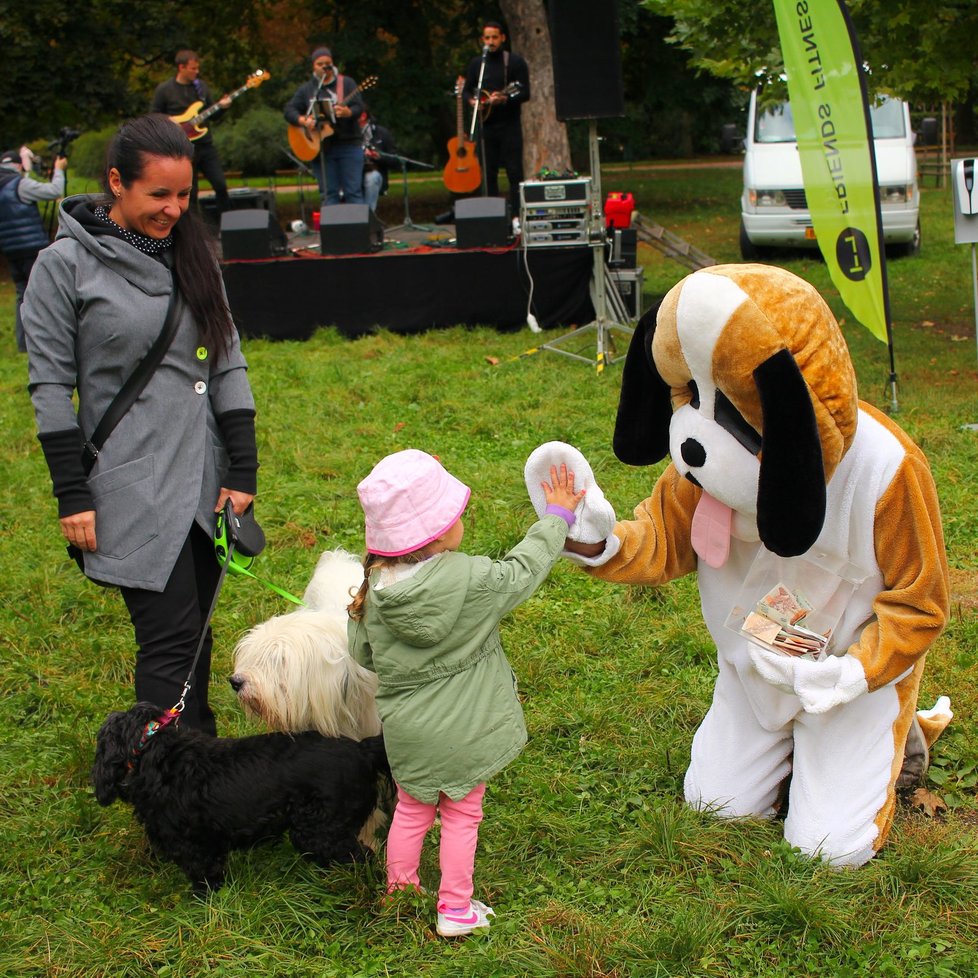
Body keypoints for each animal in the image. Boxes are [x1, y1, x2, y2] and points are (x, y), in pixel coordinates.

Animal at [93, 700, 390, 892]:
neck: (156, 753)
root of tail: (362, 749)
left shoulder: (197, 847)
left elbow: (206, 879)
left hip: (320, 831)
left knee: (363, 857)